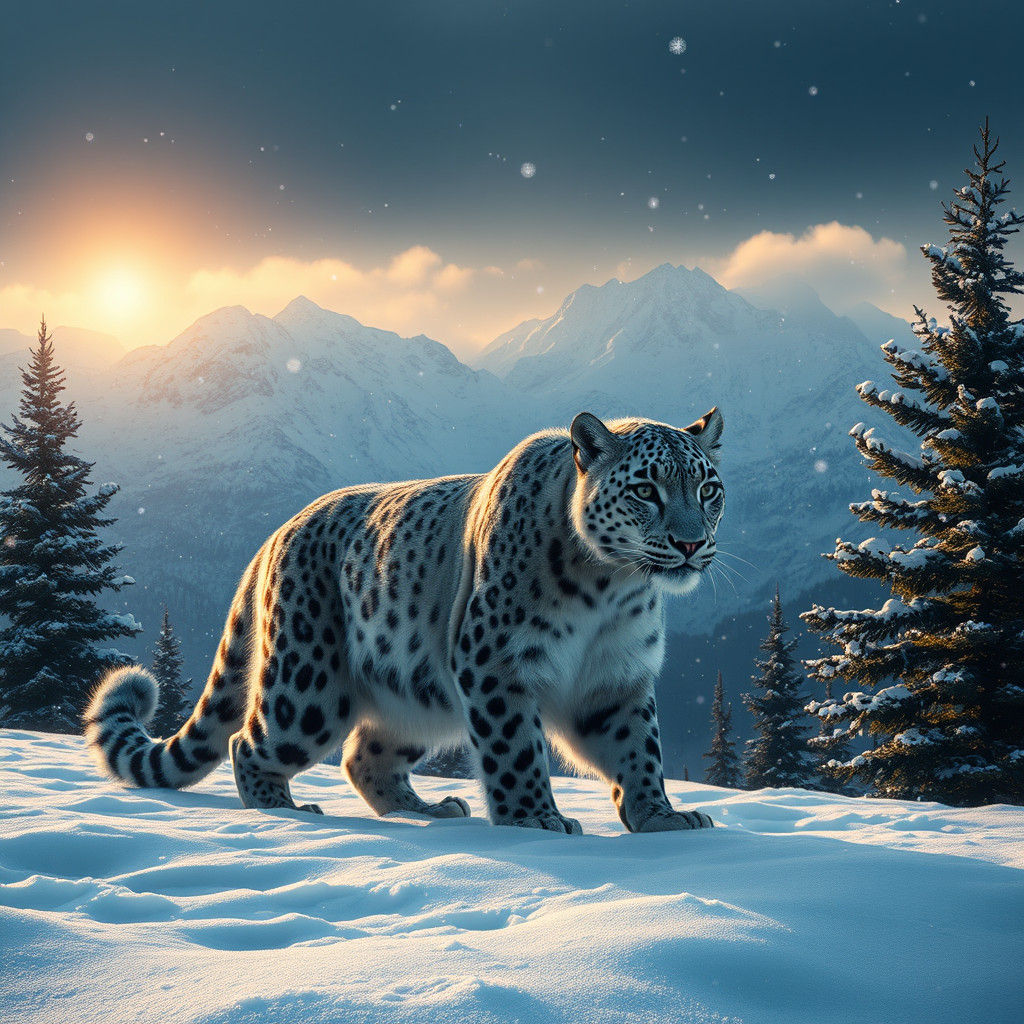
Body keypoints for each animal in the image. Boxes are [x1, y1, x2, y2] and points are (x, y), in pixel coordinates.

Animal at [85, 408, 724, 834]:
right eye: (646, 489)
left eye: (708, 488)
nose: (691, 544)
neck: (611, 589)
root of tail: (275, 535)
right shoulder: (497, 664)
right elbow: (516, 750)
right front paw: (535, 820)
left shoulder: (616, 675)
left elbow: (639, 749)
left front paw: (661, 817)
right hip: (307, 686)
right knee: (250, 739)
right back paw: (284, 810)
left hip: (414, 695)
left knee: (364, 755)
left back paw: (430, 810)